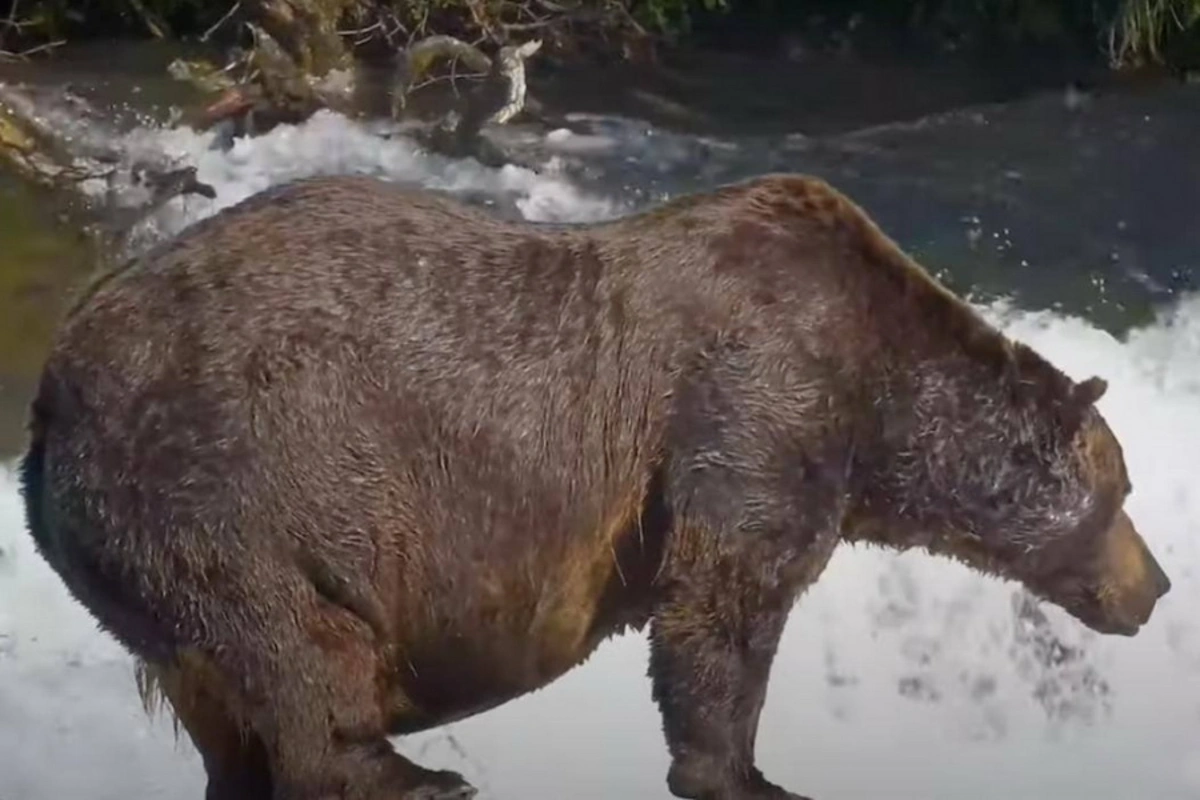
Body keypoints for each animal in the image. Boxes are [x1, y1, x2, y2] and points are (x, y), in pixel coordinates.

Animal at [21, 170, 1171, 800]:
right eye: (1121, 496)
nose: (1156, 587)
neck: (877, 399)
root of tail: (48, 393)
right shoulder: (755, 401)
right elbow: (723, 609)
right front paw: (746, 769)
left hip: (138, 560)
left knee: (227, 698)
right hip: (222, 481)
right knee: (298, 649)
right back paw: (409, 769)